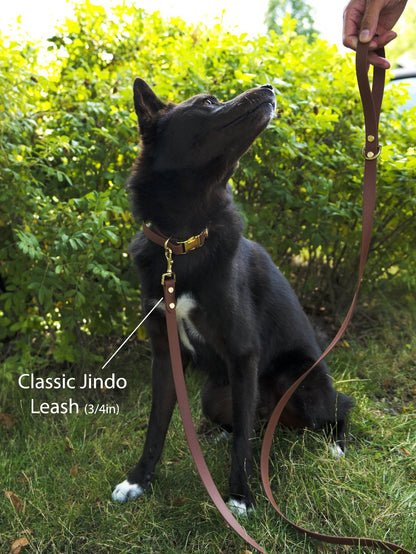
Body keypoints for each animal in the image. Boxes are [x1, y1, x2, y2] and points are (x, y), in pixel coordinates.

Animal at [110, 78, 352, 512]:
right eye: (207, 102)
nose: (269, 86)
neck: (182, 241)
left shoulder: (243, 354)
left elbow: (243, 441)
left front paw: (239, 497)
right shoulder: (165, 356)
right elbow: (155, 425)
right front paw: (138, 481)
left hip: (298, 379)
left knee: (338, 410)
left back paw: (335, 446)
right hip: (213, 394)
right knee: (249, 421)